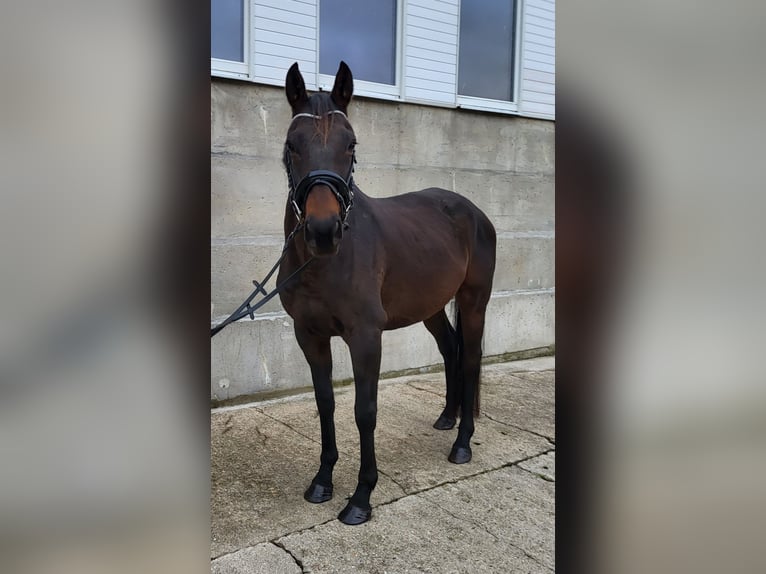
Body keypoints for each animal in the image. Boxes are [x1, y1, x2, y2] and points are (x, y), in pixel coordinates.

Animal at [276, 63, 498, 528]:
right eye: (292, 145)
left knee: (469, 358)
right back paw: (447, 418)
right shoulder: (309, 335)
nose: (323, 231)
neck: (324, 263)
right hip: (431, 306)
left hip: (474, 301)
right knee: (450, 348)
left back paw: (462, 443)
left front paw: (361, 497)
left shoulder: (365, 337)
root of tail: (473, 212)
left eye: (351, 144)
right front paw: (322, 481)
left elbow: (365, 411)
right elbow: (325, 403)